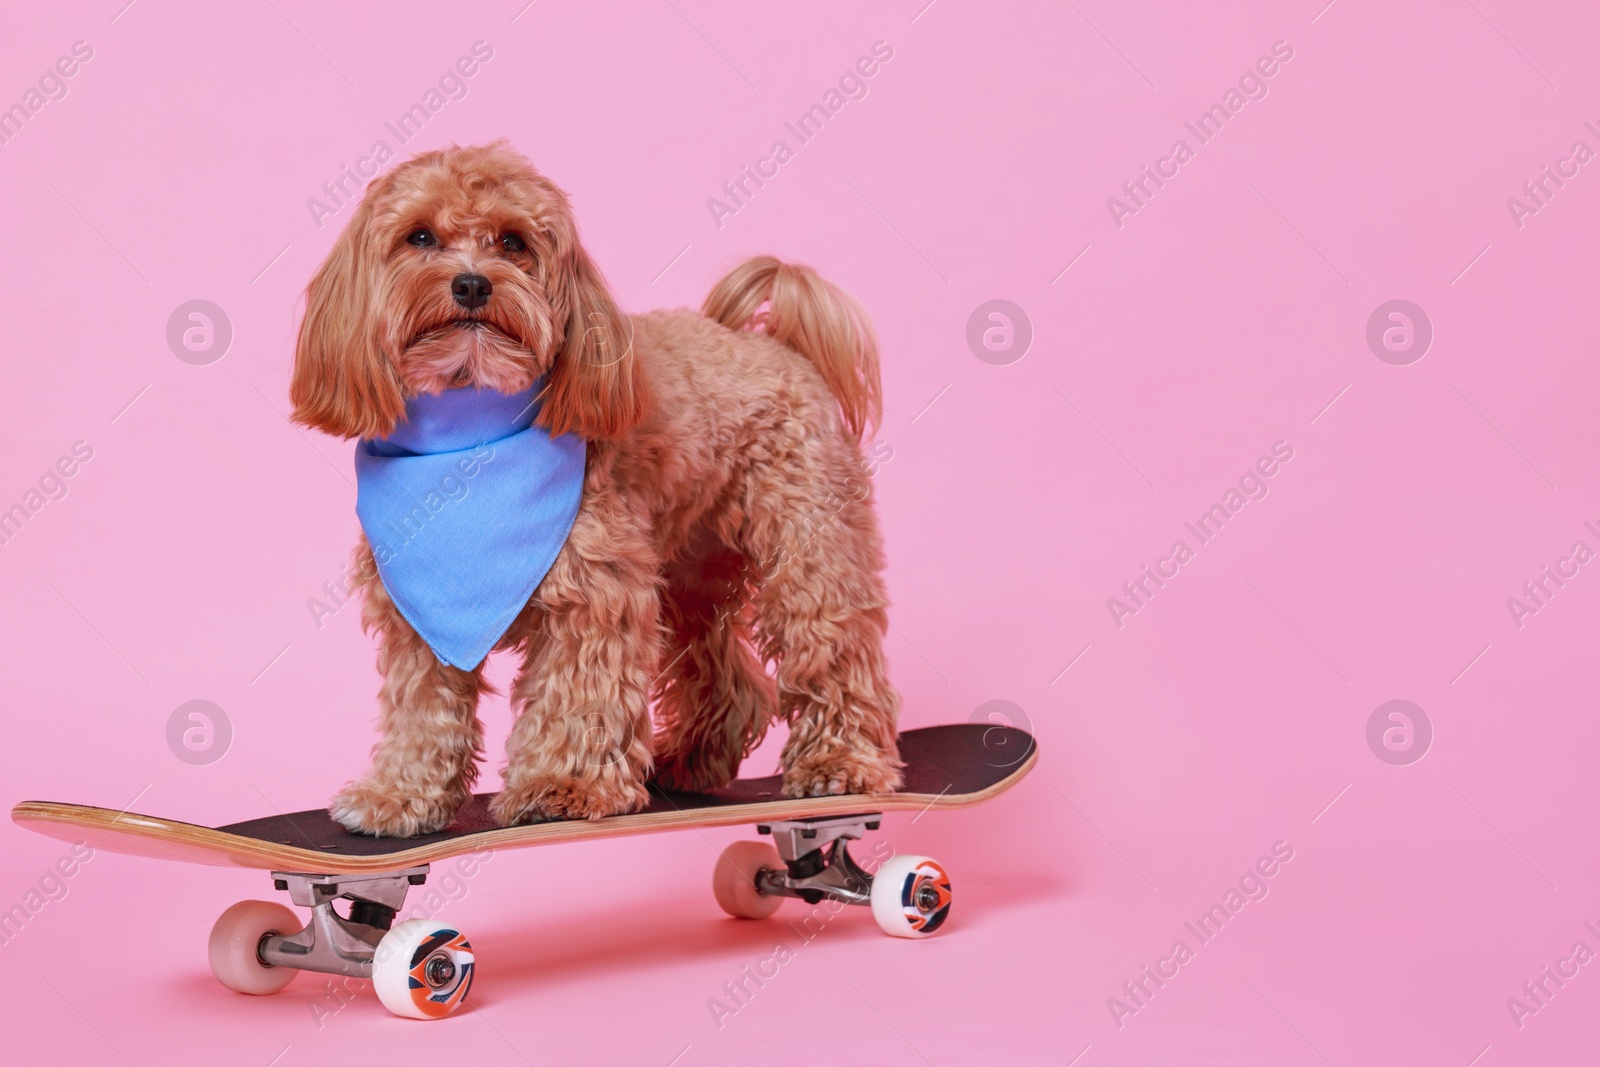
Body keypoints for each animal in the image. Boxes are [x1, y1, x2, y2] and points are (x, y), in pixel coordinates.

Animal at [289, 141, 908, 831]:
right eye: (419, 236)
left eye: (514, 242)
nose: (472, 283)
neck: (467, 435)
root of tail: (776, 344)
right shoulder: (419, 613)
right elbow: (422, 709)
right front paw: (400, 794)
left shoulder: (595, 592)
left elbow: (580, 691)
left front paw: (563, 784)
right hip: (690, 574)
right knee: (727, 673)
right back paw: (692, 760)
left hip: (808, 550)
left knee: (831, 646)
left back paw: (839, 761)